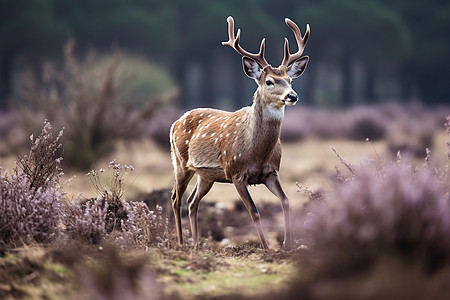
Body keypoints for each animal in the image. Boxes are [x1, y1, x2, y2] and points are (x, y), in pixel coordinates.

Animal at [169, 15, 310, 250]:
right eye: (269, 81)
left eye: (290, 80)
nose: (292, 96)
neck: (258, 153)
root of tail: (175, 123)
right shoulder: (235, 172)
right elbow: (254, 211)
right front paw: (267, 249)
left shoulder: (271, 172)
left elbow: (286, 201)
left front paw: (287, 245)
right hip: (180, 163)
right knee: (175, 198)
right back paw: (180, 243)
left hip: (206, 175)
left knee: (192, 201)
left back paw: (197, 244)